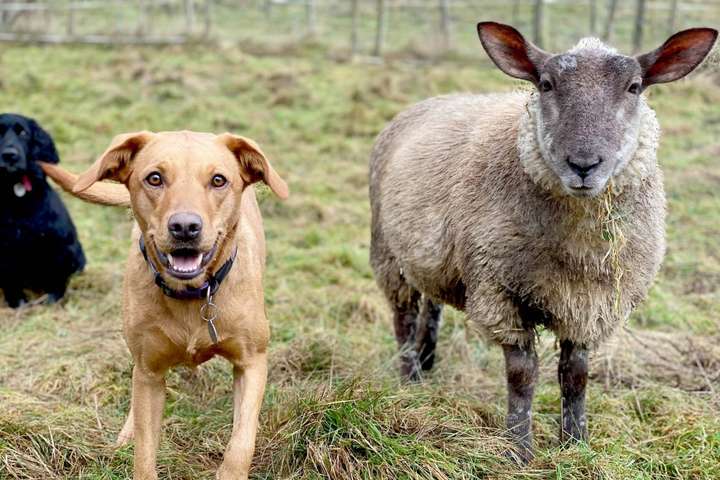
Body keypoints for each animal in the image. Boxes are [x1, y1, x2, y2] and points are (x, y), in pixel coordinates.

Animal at [0, 113, 85, 308]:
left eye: (23, 132)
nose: (9, 156)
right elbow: (10, 279)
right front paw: (17, 303)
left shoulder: (60, 244)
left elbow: (57, 278)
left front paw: (52, 299)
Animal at [41, 130, 288, 480]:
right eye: (154, 178)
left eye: (218, 180)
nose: (185, 227)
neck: (192, 295)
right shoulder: (149, 371)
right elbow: (145, 451)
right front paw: (137, 441)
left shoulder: (252, 362)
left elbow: (241, 442)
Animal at [369, 21, 718, 460]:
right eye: (547, 84)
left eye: (635, 86)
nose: (583, 165)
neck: (581, 251)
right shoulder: (499, 293)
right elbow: (522, 375)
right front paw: (519, 448)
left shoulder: (593, 305)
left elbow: (576, 376)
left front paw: (576, 444)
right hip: (387, 254)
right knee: (404, 318)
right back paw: (411, 380)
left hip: (432, 259)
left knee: (431, 304)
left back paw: (428, 362)